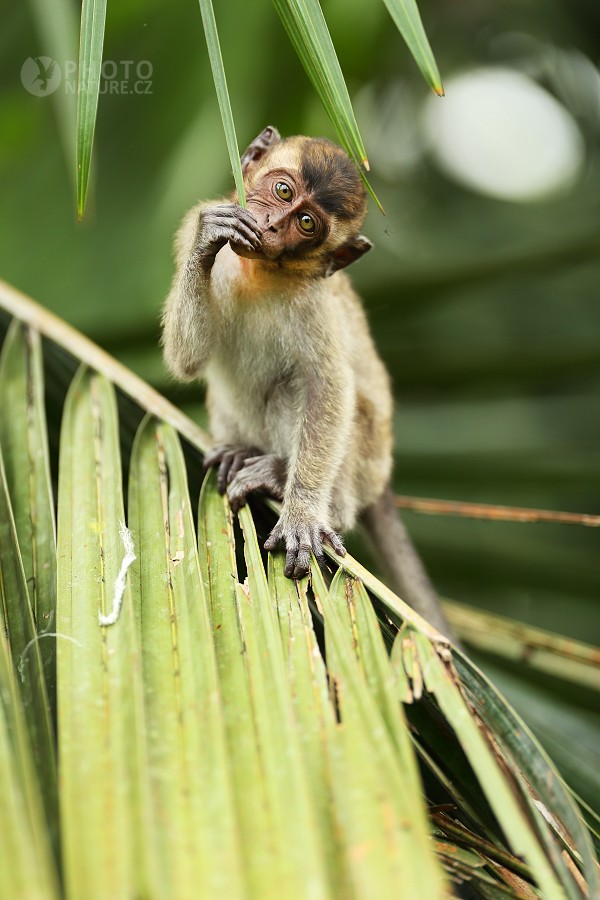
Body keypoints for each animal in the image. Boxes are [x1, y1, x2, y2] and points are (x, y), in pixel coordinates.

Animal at [162, 126, 452, 636]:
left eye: (306, 223)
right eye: (283, 191)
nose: (273, 224)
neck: (260, 271)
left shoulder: (313, 301)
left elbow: (327, 385)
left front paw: (301, 513)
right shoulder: (189, 223)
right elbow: (188, 359)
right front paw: (209, 240)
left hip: (360, 461)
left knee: (294, 392)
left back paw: (285, 480)